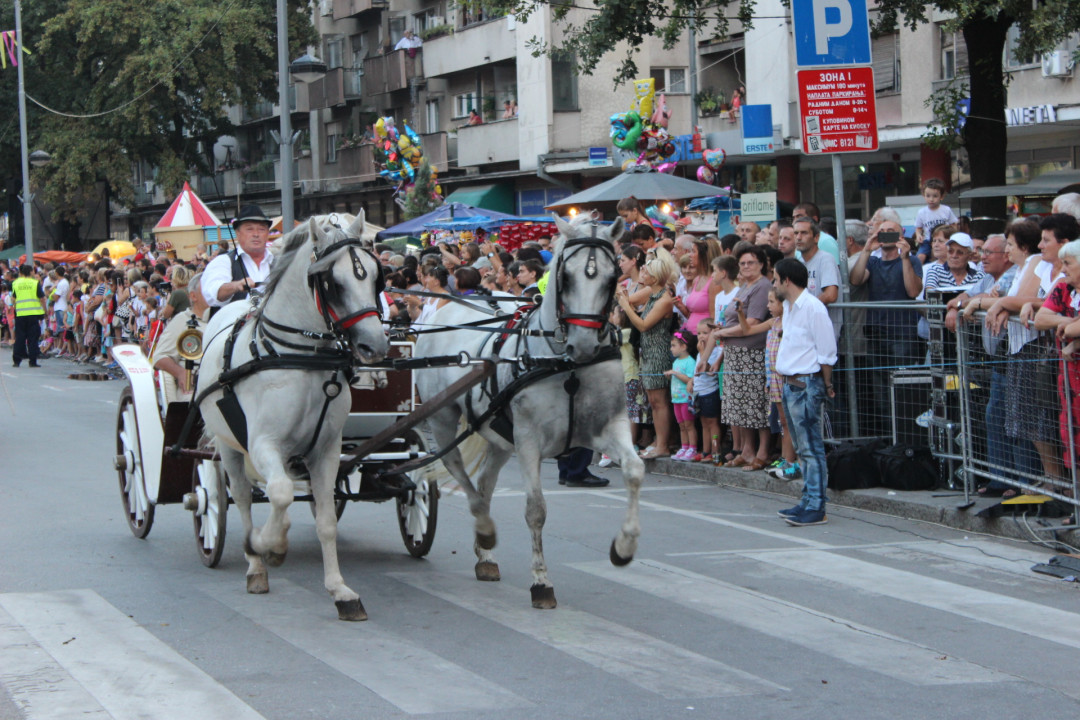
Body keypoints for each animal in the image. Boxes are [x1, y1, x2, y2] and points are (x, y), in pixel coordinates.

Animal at [194, 212, 388, 621]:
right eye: (333, 282)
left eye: (376, 276)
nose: (374, 345)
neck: (300, 356)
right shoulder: (263, 444)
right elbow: (280, 494)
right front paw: (268, 546)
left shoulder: (327, 450)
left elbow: (326, 521)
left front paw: (341, 592)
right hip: (229, 446)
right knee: (242, 496)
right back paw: (255, 564)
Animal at [412, 213, 639, 608]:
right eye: (566, 277)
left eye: (613, 278)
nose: (582, 345)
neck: (565, 365)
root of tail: (449, 308)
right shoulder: (529, 439)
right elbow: (536, 509)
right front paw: (541, 582)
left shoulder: (608, 426)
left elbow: (635, 471)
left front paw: (624, 547)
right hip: (443, 419)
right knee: (457, 470)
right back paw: (484, 529)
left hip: (499, 434)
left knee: (485, 484)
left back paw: (485, 554)